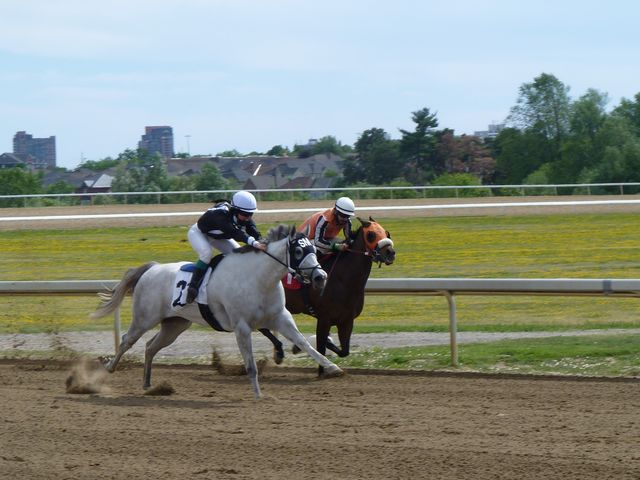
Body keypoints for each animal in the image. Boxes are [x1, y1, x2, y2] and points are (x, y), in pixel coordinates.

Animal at [92, 225, 342, 398]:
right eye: (299, 250)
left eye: (313, 249)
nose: (321, 277)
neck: (259, 279)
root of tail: (152, 269)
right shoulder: (241, 327)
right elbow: (250, 365)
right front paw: (258, 394)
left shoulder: (281, 318)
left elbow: (305, 343)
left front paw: (332, 367)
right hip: (145, 318)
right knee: (127, 340)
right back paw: (109, 368)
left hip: (175, 325)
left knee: (150, 346)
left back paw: (147, 383)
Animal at [268, 217, 396, 372]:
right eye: (371, 234)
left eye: (386, 232)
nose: (390, 252)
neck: (343, 279)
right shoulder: (324, 318)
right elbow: (321, 349)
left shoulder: (347, 320)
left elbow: (344, 351)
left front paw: (299, 347)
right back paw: (279, 352)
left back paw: (278, 353)